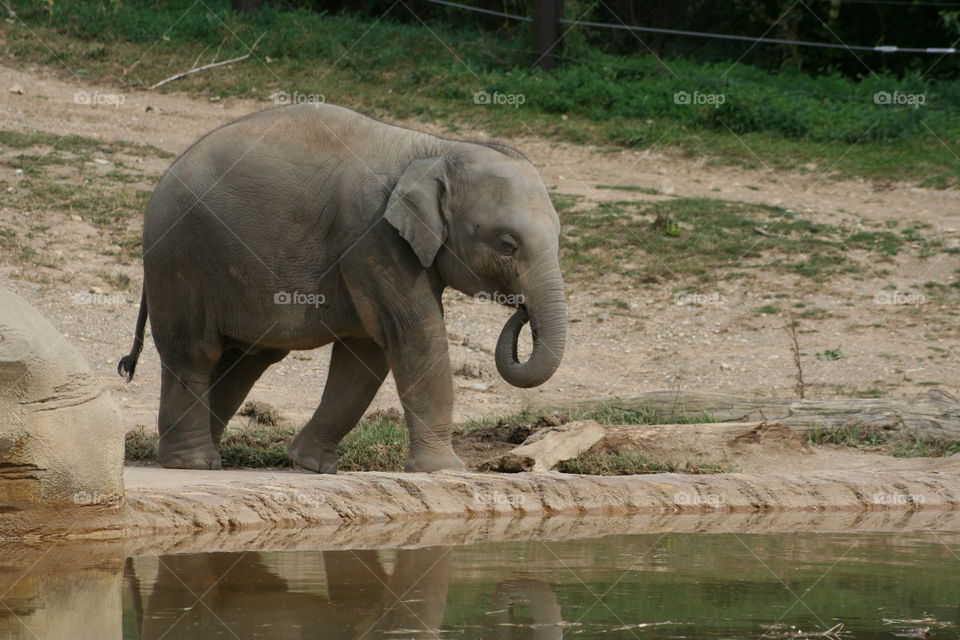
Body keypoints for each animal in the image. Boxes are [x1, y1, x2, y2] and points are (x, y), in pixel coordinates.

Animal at [117, 102, 566, 473]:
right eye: (507, 244)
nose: (520, 309)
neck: (437, 149)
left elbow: (366, 354)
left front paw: (311, 464)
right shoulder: (373, 237)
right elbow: (413, 335)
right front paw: (446, 471)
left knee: (246, 360)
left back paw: (206, 455)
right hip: (180, 259)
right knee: (195, 352)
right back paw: (193, 463)